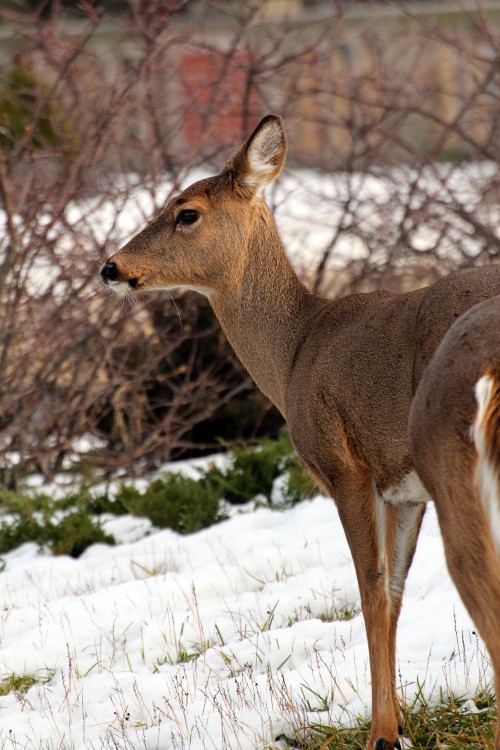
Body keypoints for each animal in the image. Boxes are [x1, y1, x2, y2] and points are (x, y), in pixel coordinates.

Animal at [100, 114, 500, 749]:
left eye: (186, 212)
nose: (109, 267)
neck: (295, 352)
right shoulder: (404, 489)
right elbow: (394, 591)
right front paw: (400, 723)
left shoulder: (345, 465)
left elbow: (371, 591)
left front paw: (381, 733)